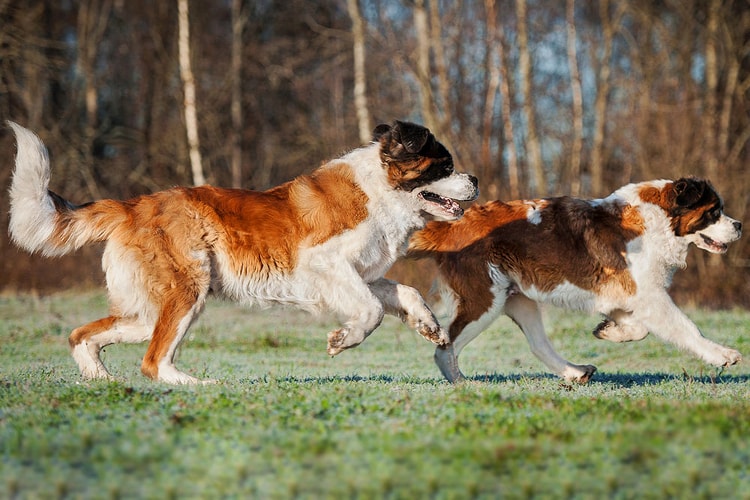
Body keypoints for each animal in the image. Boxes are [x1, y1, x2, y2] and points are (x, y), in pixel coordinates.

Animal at [8, 120, 482, 382]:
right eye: (444, 166)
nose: (475, 178)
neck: (381, 188)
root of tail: (135, 204)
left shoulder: (362, 274)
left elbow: (403, 293)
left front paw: (429, 325)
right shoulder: (326, 263)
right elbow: (372, 310)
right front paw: (343, 340)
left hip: (147, 310)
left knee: (85, 335)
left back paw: (100, 380)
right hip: (186, 293)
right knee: (153, 360)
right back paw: (199, 387)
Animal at [412, 179, 748, 382]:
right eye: (713, 212)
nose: (739, 225)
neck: (660, 220)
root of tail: (453, 226)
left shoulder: (622, 295)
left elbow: (638, 328)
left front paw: (609, 331)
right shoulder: (650, 297)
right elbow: (687, 327)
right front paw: (722, 355)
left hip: (518, 298)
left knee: (538, 344)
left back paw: (574, 372)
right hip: (484, 301)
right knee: (445, 347)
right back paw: (461, 382)